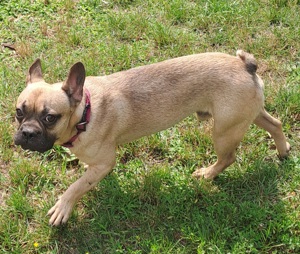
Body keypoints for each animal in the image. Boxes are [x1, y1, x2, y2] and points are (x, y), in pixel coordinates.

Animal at [14, 50, 290, 225]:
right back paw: (283, 150)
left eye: (50, 118)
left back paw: (208, 174)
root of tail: (244, 64)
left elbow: (77, 186)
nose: (27, 133)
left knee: (228, 158)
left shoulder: (105, 163)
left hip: (224, 131)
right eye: (19, 112)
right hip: (247, 114)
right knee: (274, 124)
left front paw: (64, 206)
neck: (85, 112)